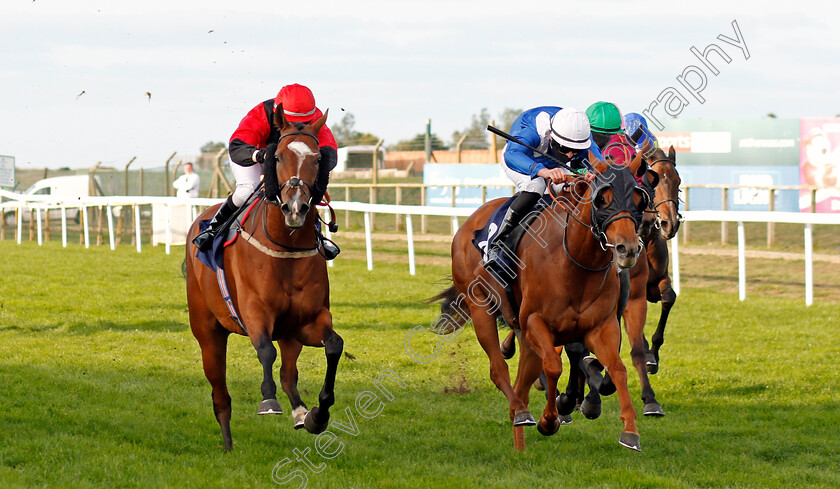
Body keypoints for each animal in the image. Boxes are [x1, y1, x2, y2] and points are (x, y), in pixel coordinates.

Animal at [185, 107, 342, 450]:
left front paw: (319, 413)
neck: (286, 246)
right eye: (278, 156)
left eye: (316, 159)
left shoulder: (306, 321)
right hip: (208, 332)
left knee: (288, 373)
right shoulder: (254, 311)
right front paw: (268, 401)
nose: (295, 207)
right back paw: (228, 444)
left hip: (289, 334)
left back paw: (302, 414)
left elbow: (334, 345)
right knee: (220, 393)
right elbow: (265, 350)